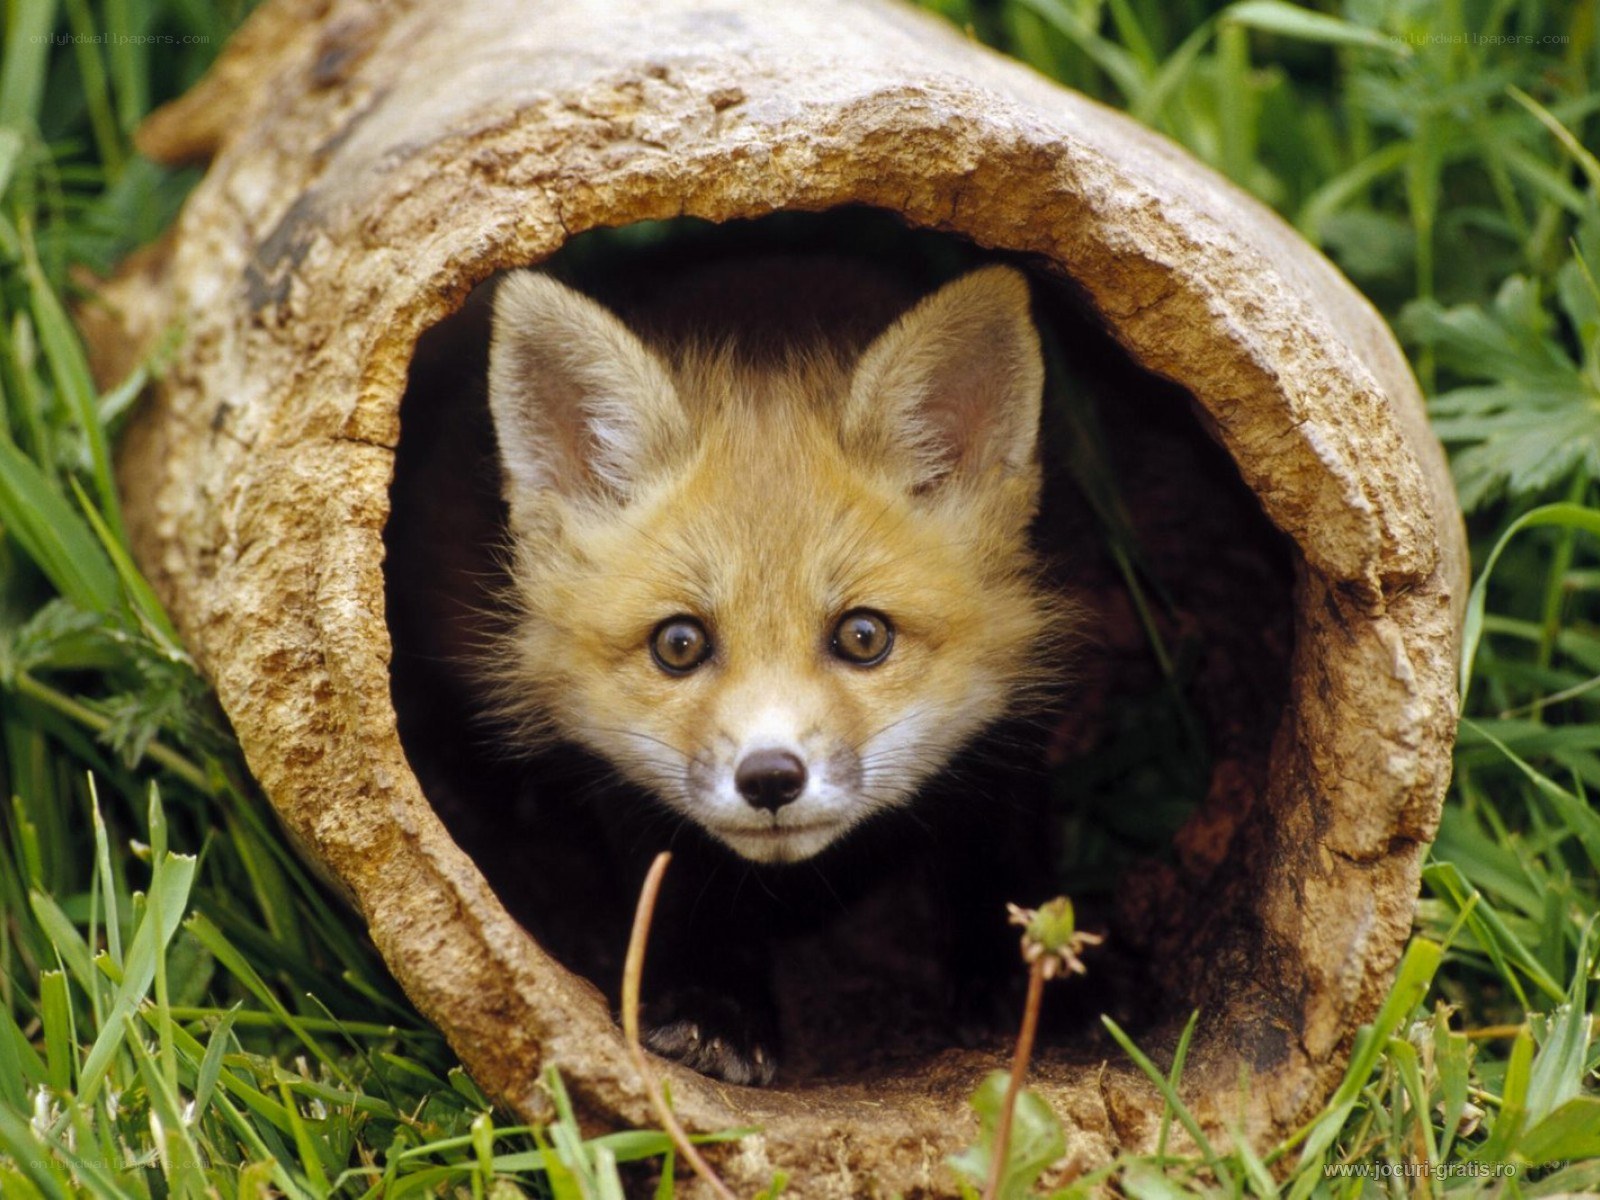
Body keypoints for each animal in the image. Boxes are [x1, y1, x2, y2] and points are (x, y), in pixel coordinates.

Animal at [480, 256, 1071, 1085]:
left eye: (863, 636)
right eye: (679, 644)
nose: (769, 779)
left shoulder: (1000, 751)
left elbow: (995, 854)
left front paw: (1020, 982)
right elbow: (683, 887)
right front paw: (717, 1008)